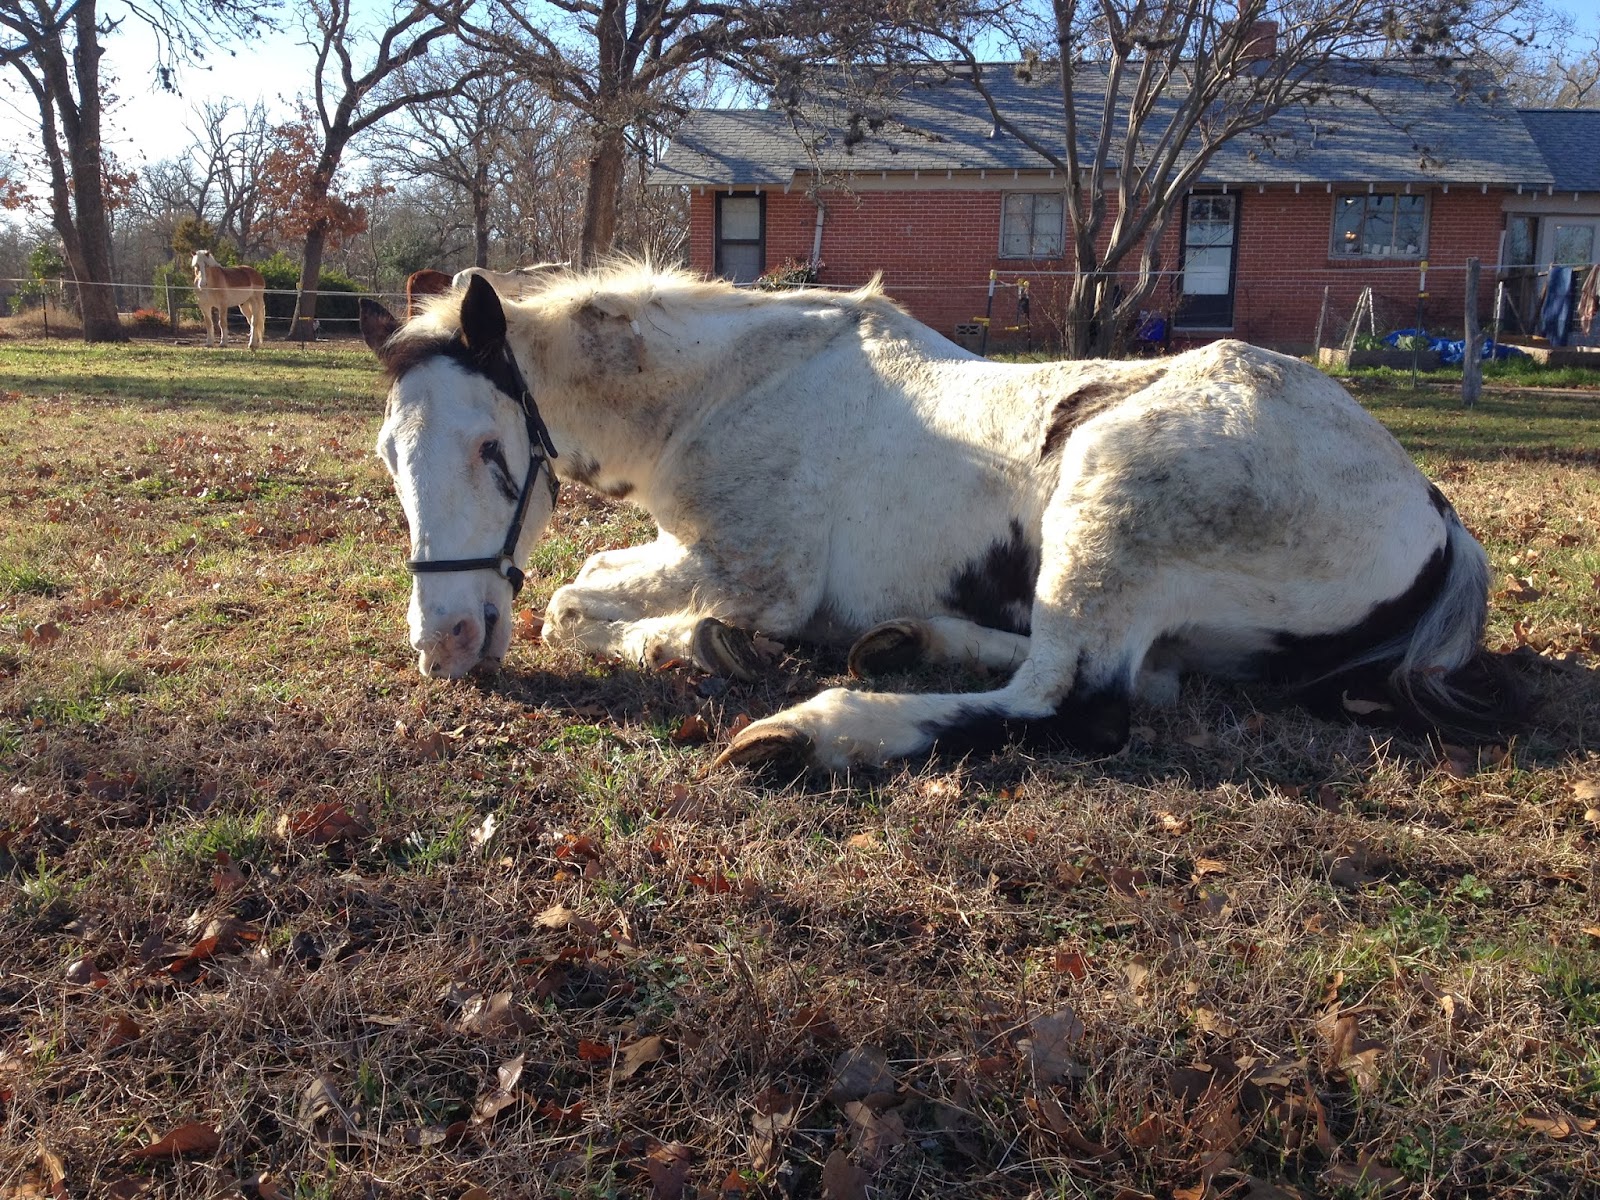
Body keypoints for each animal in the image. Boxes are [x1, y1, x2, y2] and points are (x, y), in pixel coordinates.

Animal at [360, 264, 1518, 773]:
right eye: (388, 456)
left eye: (491, 450)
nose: (445, 643)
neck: (730, 390)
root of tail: (1436, 514)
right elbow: (581, 594)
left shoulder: (757, 571)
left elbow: (577, 603)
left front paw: (705, 645)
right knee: (1131, 674)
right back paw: (902, 642)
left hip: (1110, 499)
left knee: (1074, 704)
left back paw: (814, 729)